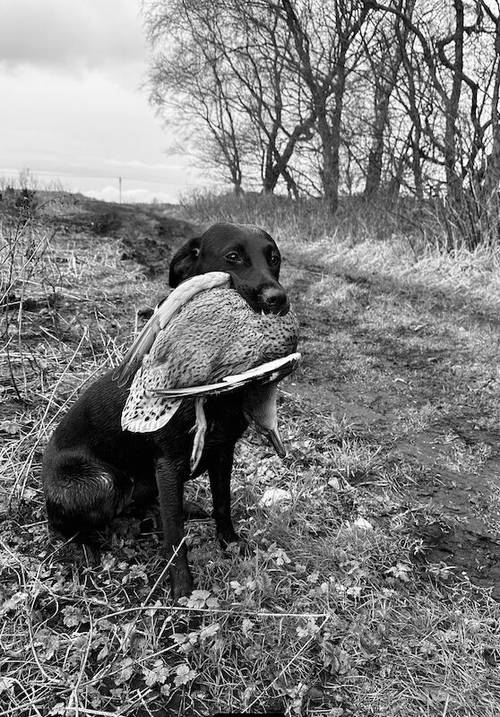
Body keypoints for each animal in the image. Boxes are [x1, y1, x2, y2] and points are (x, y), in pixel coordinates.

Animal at [43, 222, 290, 600]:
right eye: (233, 256)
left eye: (273, 258)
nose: (277, 299)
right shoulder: (168, 464)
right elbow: (175, 536)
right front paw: (183, 591)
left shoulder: (223, 451)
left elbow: (222, 503)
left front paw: (231, 544)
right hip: (100, 482)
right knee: (63, 526)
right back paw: (86, 549)